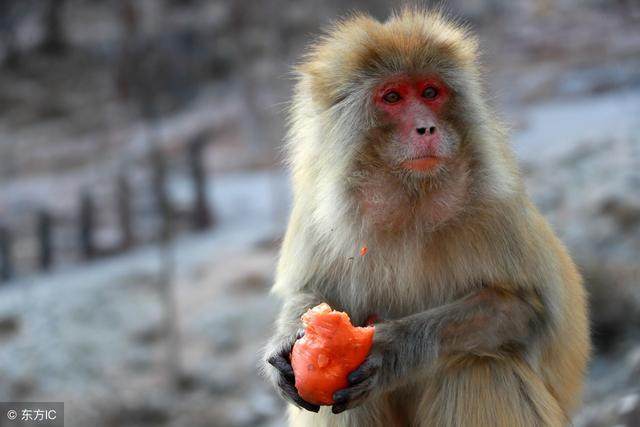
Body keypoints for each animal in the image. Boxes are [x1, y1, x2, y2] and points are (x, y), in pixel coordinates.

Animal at [262, 7, 592, 427]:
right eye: (392, 97)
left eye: (430, 93)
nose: (427, 127)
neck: (410, 200)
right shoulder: (316, 206)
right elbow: (310, 290)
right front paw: (288, 339)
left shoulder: (497, 202)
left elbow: (522, 308)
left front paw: (396, 348)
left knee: (482, 366)